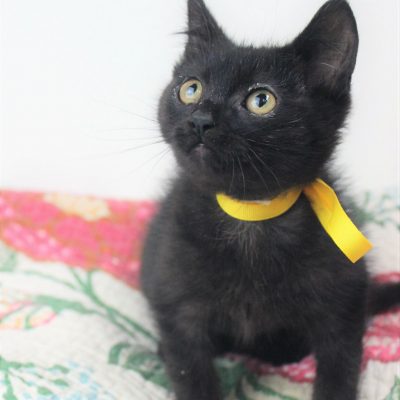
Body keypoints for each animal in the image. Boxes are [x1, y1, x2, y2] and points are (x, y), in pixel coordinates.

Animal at [140, 1, 400, 399]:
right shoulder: (176, 303)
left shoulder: (343, 303)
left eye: (261, 100)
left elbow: (339, 367)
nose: (200, 119)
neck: (252, 216)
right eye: (190, 89)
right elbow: (189, 369)